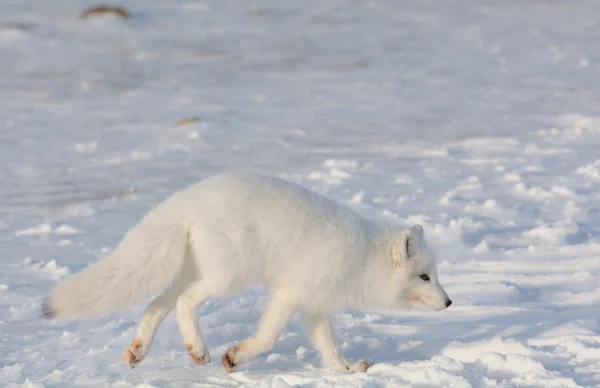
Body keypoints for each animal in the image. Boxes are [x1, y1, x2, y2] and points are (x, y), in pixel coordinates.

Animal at [43, 173, 450, 372]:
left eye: (434, 274)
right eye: (424, 277)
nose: (449, 303)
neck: (362, 256)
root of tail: (187, 197)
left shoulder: (315, 306)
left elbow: (330, 348)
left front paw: (348, 369)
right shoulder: (290, 294)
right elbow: (268, 338)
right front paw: (235, 358)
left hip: (194, 270)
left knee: (156, 305)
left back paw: (139, 351)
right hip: (226, 277)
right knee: (185, 302)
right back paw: (199, 350)